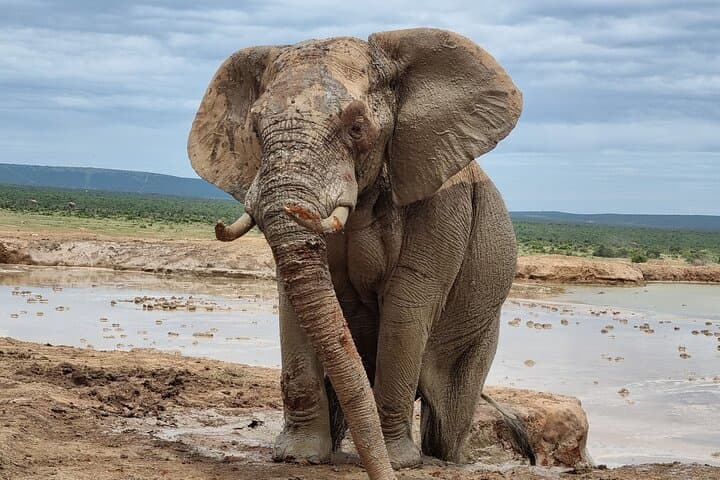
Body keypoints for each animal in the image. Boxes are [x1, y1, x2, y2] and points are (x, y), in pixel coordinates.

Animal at [188, 28, 529, 479]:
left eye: (356, 127)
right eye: (257, 132)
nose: (384, 474)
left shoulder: (442, 204)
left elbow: (406, 305)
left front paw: (400, 463)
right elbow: (294, 298)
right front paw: (298, 456)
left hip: (481, 325)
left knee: (451, 418)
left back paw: (443, 458)